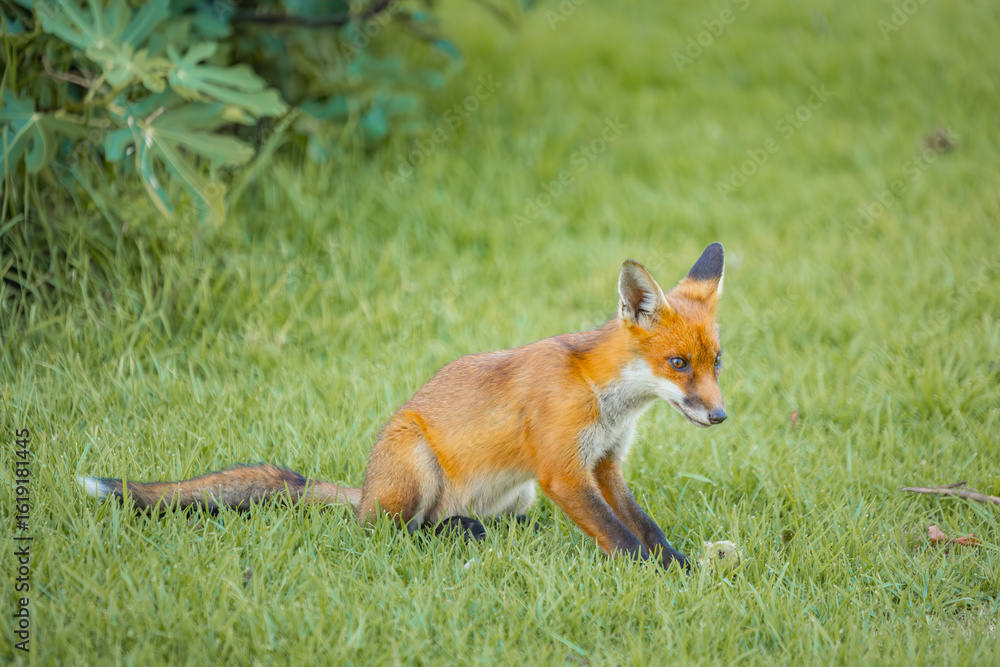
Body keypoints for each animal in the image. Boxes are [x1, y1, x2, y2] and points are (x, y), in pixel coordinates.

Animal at [80, 243, 728, 570]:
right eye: (678, 364)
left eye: (716, 362)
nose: (721, 417)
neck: (606, 399)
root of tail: (365, 491)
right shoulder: (563, 473)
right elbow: (622, 539)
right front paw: (667, 579)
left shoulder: (605, 464)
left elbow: (644, 526)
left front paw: (681, 563)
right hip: (416, 467)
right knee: (397, 534)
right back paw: (451, 534)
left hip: (516, 495)